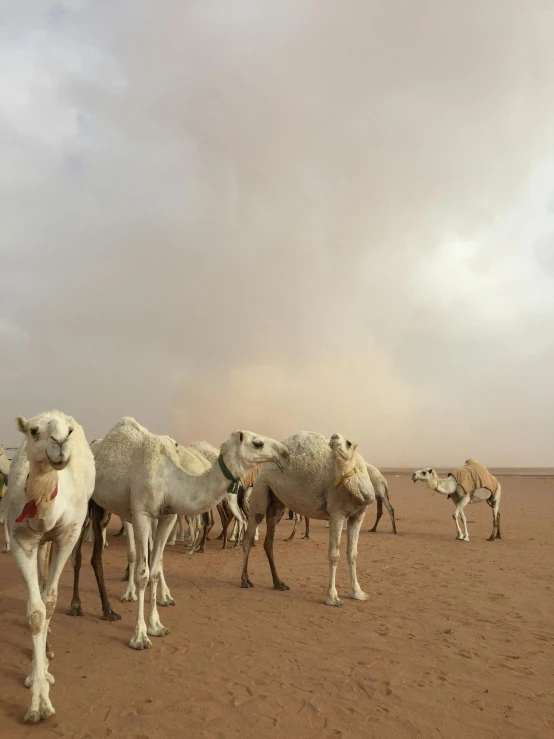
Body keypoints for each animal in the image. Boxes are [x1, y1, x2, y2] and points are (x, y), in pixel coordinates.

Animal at [6, 410, 94, 724]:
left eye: (69, 431)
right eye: (33, 431)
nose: (60, 443)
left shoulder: (69, 534)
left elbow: (51, 602)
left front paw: (43, 688)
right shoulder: (21, 539)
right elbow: (35, 612)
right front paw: (37, 699)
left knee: (47, 592)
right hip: (40, 543)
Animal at [90, 420, 288, 652]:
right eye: (257, 443)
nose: (285, 453)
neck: (169, 480)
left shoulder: (167, 516)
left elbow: (154, 571)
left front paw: (156, 626)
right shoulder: (141, 514)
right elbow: (143, 574)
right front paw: (139, 637)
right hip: (96, 503)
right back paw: (110, 606)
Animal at [239, 428, 374, 608]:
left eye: (349, 443)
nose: (334, 437)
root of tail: (264, 467)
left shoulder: (358, 516)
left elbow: (352, 553)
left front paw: (358, 593)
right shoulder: (336, 513)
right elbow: (334, 554)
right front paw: (333, 598)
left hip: (277, 502)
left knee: (269, 542)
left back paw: (279, 583)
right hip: (261, 487)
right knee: (249, 534)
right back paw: (245, 580)